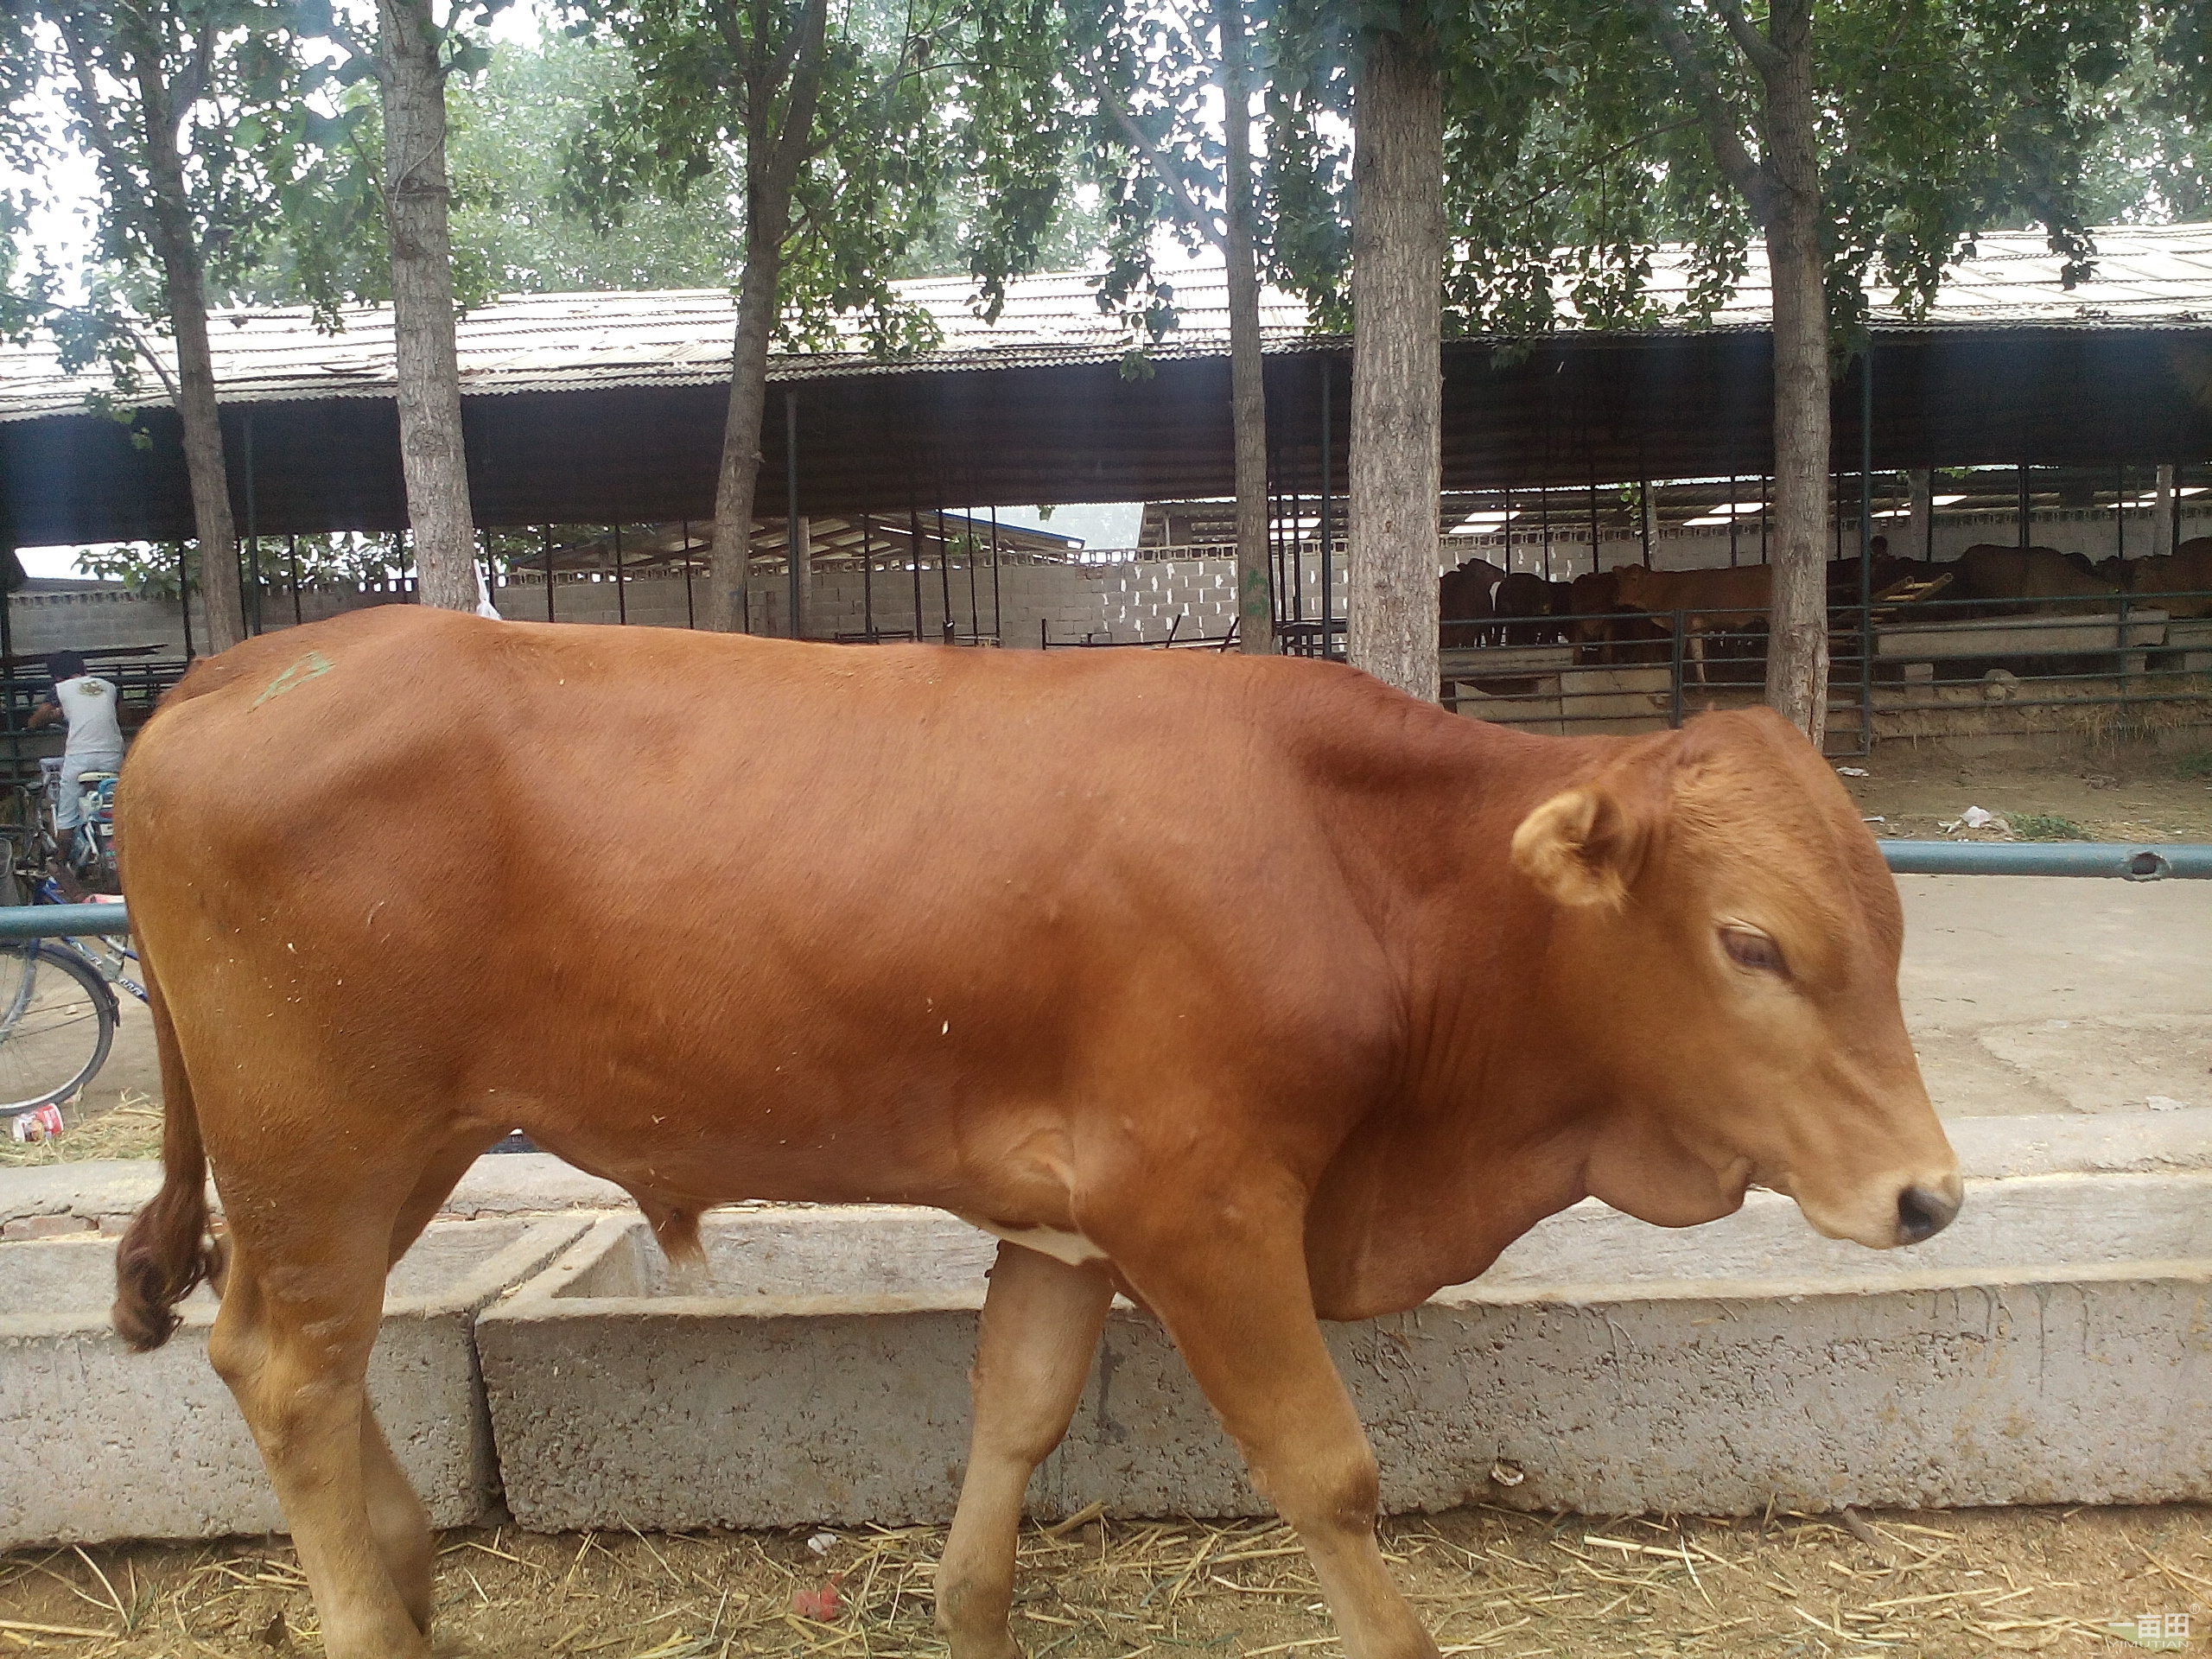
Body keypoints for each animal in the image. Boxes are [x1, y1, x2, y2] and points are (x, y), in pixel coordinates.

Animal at [111, 619, 1964, 1659]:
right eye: (1752, 944)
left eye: (1890, 928)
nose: (1930, 1196)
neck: (1360, 863)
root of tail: (231, 670)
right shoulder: (1206, 1207)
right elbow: (1329, 1475)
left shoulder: (1072, 1219)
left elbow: (1012, 1428)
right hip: (324, 1141)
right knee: (286, 1365)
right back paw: (374, 1613)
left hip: (385, 1150)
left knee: (313, 1356)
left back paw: (411, 1562)